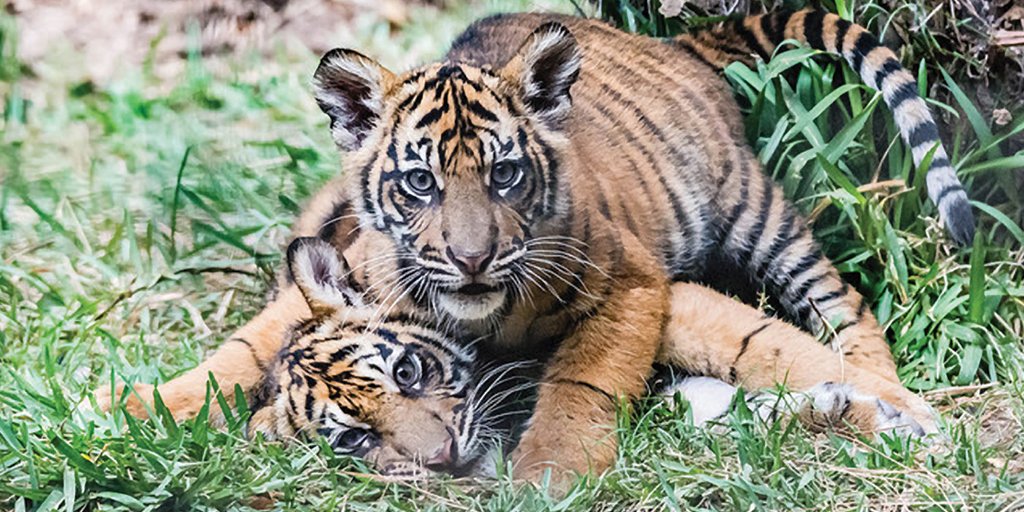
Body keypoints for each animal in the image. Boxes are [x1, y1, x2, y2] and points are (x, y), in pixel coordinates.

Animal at [242, 237, 931, 478]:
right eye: (354, 440)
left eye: (407, 372)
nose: (441, 459)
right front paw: (867, 418)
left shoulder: (657, 299)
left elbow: (771, 347)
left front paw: (920, 419)